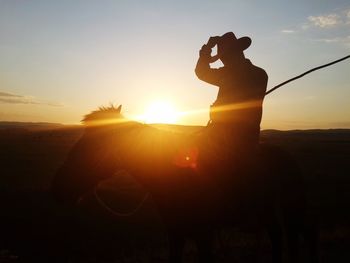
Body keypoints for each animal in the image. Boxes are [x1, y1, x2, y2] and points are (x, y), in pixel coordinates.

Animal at [51, 104, 318, 262]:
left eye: (94, 143)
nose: (58, 185)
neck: (173, 173)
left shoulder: (203, 234)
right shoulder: (175, 233)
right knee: (279, 235)